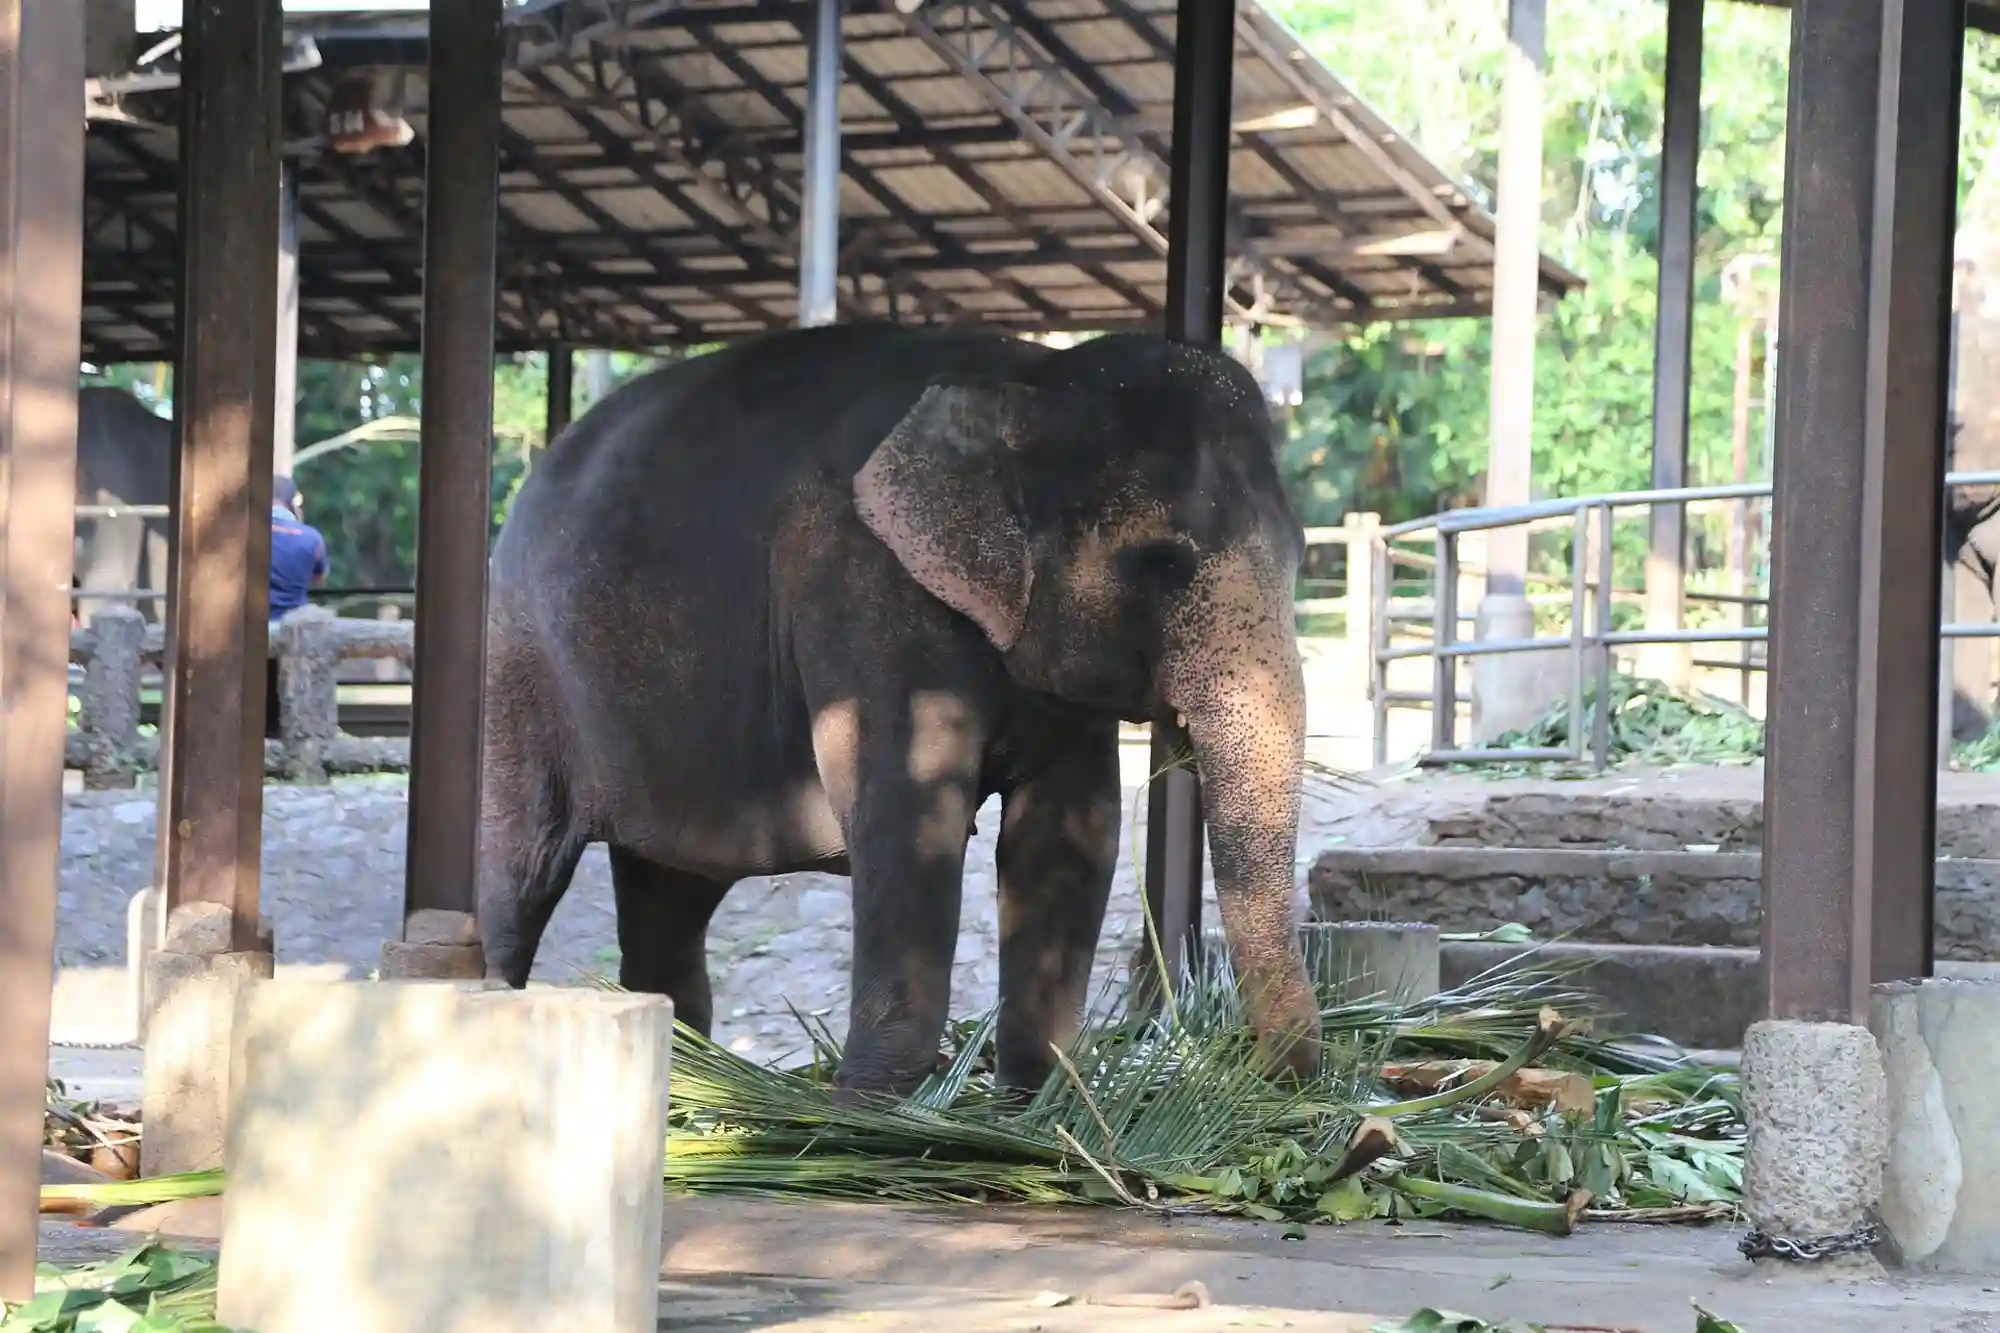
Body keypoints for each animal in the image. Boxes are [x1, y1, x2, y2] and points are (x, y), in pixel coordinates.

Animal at [478, 323, 1321, 1098]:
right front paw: (874, 1112)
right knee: (520, 870)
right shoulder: (863, 597)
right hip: (516, 669)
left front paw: (1038, 1109)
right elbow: (909, 817)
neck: (1029, 380)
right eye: (1161, 561)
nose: (1264, 1071)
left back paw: (690, 1083)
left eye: (1301, 552)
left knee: (669, 897)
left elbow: (1070, 834)